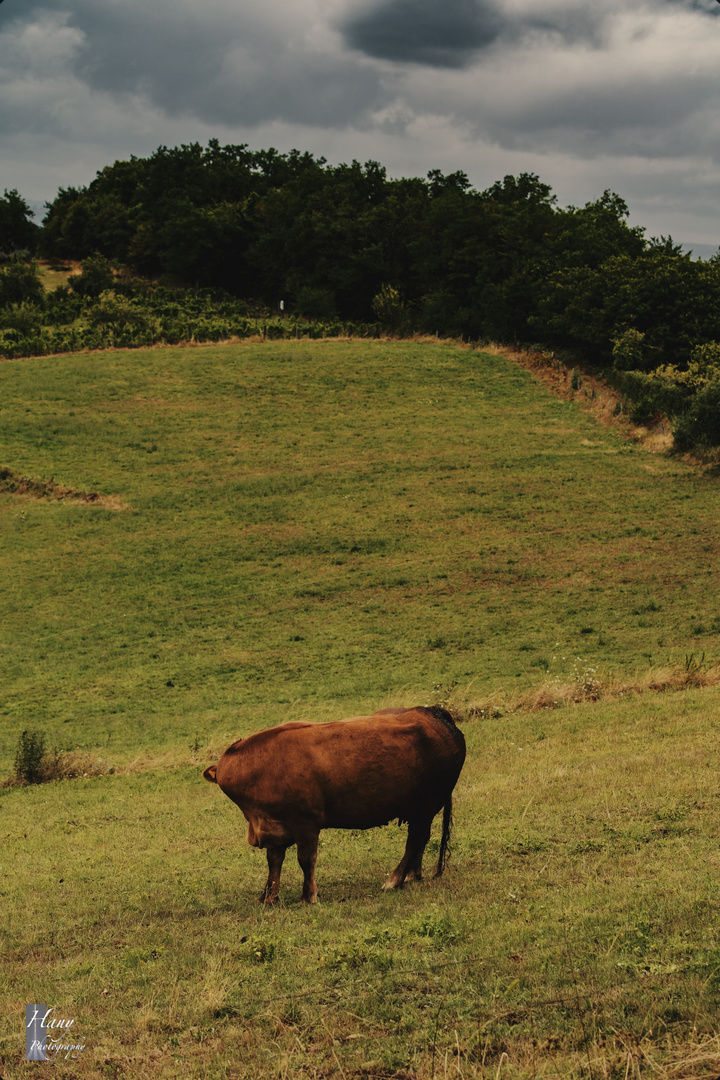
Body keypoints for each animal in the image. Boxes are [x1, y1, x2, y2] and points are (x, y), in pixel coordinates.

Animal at [202, 708, 468, 902]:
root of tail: (432, 712)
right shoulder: (274, 827)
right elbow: (274, 862)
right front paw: (269, 897)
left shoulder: (306, 822)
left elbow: (306, 859)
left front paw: (308, 897)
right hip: (420, 808)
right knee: (421, 839)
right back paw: (412, 875)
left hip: (428, 802)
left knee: (415, 840)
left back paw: (394, 881)